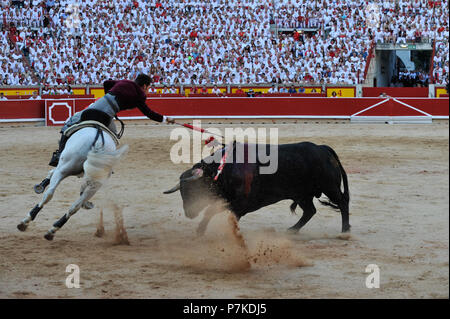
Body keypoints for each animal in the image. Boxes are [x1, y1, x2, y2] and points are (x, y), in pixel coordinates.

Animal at [163, 142, 350, 235]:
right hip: (302, 194)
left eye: (193, 190)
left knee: (342, 202)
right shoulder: (230, 201)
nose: (189, 213)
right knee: (310, 211)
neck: (223, 170)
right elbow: (211, 211)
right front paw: (201, 230)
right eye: (182, 192)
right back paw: (292, 230)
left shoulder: (241, 204)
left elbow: (214, 211)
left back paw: (345, 229)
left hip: (329, 187)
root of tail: (323, 149)